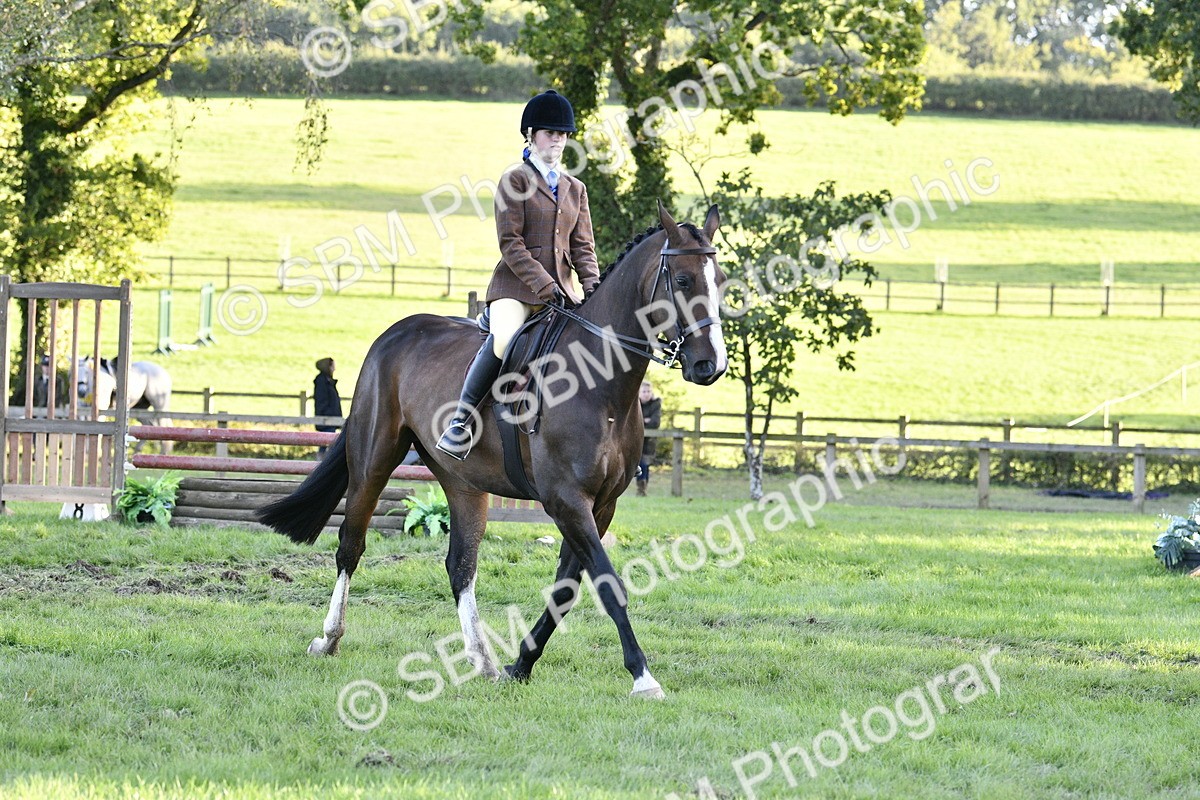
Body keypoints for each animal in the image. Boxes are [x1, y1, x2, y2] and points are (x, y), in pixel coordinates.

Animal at [256, 203, 727, 699]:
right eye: (682, 280)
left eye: (720, 279)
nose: (710, 366)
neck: (601, 385)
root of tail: (395, 332)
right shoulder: (567, 500)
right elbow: (606, 582)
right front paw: (642, 676)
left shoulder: (600, 505)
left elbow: (566, 588)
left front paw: (520, 664)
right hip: (373, 460)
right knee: (351, 545)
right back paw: (329, 638)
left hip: (463, 482)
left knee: (460, 564)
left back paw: (481, 660)